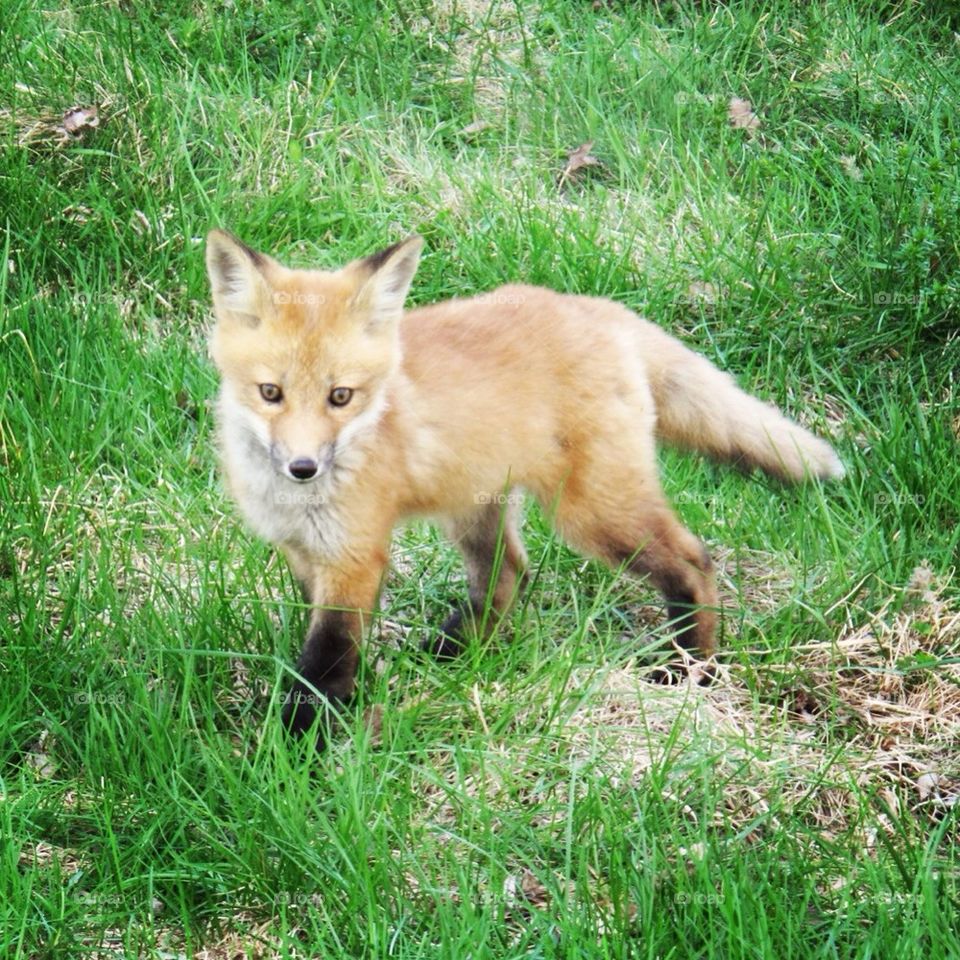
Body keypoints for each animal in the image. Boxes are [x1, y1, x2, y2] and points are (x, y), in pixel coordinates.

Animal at [205, 230, 844, 747]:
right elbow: (320, 648)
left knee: (693, 559)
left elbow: (325, 661)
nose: (303, 467)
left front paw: (295, 747)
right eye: (270, 392)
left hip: (592, 513)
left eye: (341, 396)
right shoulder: (302, 553)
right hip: (477, 507)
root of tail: (594, 307)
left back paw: (692, 670)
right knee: (509, 573)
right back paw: (454, 653)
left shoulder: (354, 557)